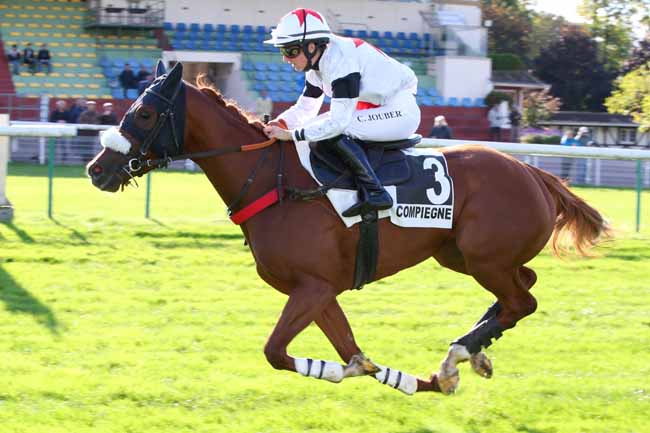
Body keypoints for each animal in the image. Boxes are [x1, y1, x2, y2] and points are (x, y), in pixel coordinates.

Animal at [86, 62, 608, 396]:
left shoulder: (313, 286)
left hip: (484, 258)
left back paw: (460, 352)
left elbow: (278, 352)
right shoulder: (318, 290)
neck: (275, 180)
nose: (97, 169)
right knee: (523, 287)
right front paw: (420, 381)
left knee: (523, 300)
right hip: (460, 255)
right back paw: (468, 354)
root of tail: (535, 173)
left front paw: (396, 375)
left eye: (145, 113)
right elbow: (352, 351)